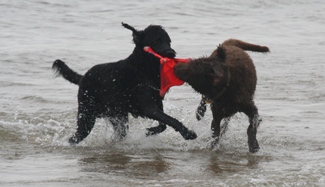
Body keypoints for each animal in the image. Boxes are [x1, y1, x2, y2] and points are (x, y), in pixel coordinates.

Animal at [52, 22, 196, 144]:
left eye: (168, 41)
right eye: (156, 41)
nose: (171, 53)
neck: (144, 67)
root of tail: (83, 77)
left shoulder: (157, 102)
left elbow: (164, 124)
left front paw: (150, 131)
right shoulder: (148, 106)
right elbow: (170, 120)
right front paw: (187, 133)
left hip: (118, 117)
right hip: (87, 116)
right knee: (74, 138)